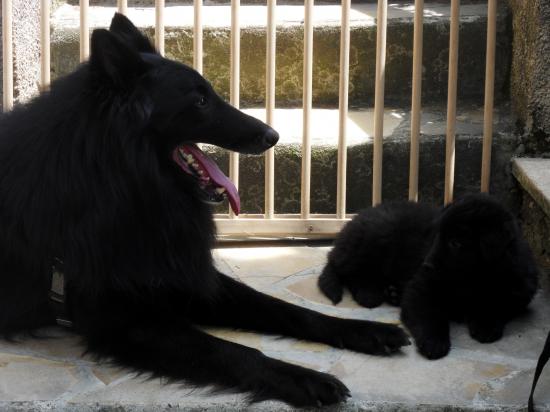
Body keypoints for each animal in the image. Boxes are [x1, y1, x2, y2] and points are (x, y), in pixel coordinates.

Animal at [0, 13, 410, 408]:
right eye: (199, 101)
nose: (272, 136)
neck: (119, 182)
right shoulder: (123, 318)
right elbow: (236, 352)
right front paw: (306, 378)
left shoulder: (183, 276)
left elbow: (288, 309)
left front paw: (365, 330)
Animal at [322, 195, 540, 358]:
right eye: (437, 236)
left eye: (455, 243)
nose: (426, 265)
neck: (471, 279)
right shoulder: (422, 288)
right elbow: (429, 315)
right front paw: (434, 342)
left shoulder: (519, 290)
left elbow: (498, 303)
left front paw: (485, 324)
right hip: (376, 236)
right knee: (346, 270)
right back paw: (368, 294)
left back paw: (393, 293)